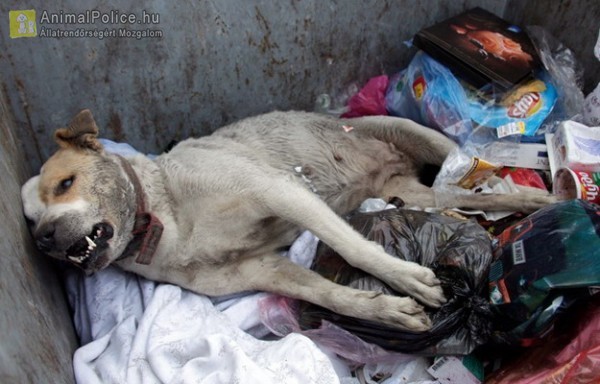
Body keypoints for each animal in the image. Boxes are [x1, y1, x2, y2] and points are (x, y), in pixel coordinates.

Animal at [21, 109, 556, 332]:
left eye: (65, 183)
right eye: (30, 221)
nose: (46, 238)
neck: (166, 217)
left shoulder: (281, 191)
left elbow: (356, 248)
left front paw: (408, 279)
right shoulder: (264, 270)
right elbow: (326, 293)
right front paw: (385, 311)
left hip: (416, 134)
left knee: (476, 163)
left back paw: (540, 187)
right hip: (410, 194)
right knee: (457, 196)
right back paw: (533, 204)